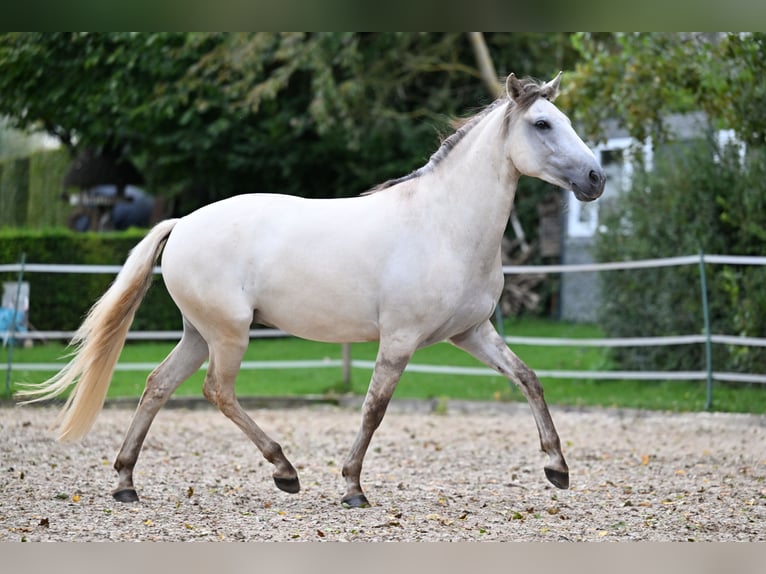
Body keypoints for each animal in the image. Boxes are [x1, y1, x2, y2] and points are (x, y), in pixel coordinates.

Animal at [19, 72, 608, 508]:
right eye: (542, 123)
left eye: (566, 121)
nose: (596, 179)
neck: (443, 225)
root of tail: (183, 222)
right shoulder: (400, 340)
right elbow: (374, 409)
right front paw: (352, 488)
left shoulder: (472, 334)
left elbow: (529, 379)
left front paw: (557, 469)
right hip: (229, 335)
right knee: (217, 391)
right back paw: (285, 471)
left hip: (199, 334)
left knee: (158, 385)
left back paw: (126, 483)